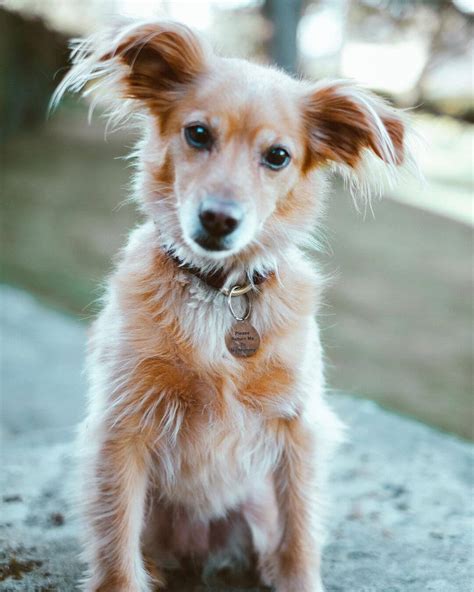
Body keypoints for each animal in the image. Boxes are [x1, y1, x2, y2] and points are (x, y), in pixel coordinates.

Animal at [51, 18, 408, 592]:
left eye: (278, 156)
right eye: (198, 133)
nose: (219, 218)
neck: (221, 293)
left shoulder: (298, 426)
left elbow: (299, 533)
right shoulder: (121, 425)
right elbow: (116, 555)